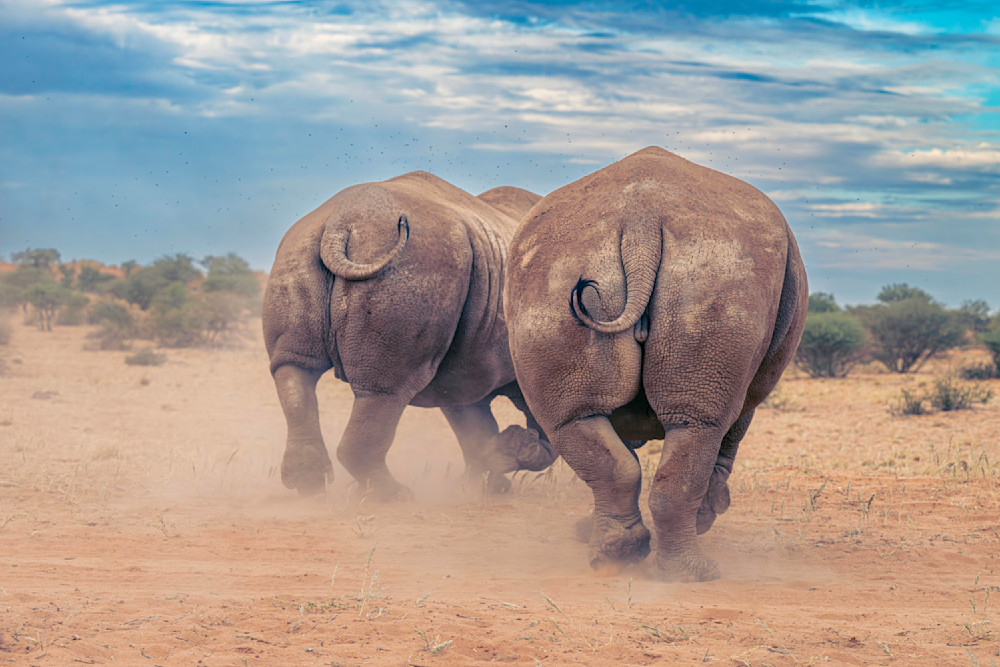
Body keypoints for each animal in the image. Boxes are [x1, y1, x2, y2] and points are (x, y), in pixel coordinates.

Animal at [263, 171, 556, 499]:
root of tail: (340, 224)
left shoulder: (468, 368)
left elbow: (472, 426)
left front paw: (492, 479)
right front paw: (519, 450)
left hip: (300, 249)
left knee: (294, 368)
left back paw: (310, 485)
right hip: (421, 265)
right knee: (386, 390)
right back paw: (394, 496)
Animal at [504, 147, 807, 581]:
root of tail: (641, 220)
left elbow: (620, 447)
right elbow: (722, 447)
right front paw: (707, 515)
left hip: (551, 271)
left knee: (574, 420)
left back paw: (618, 557)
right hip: (717, 265)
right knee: (698, 426)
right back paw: (695, 574)